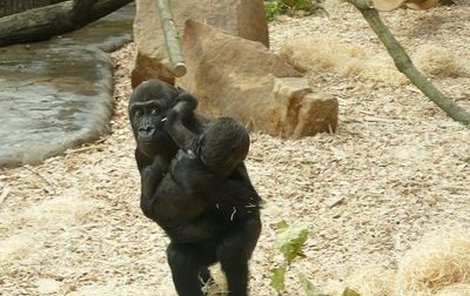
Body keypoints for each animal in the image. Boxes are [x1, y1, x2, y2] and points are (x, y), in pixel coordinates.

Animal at [129, 79, 260, 296]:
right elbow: (153, 212)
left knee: (232, 250)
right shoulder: (140, 152)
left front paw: (191, 173)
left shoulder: (203, 131)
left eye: (155, 110)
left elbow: (249, 199)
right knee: (180, 260)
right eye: (138, 113)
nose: (145, 129)